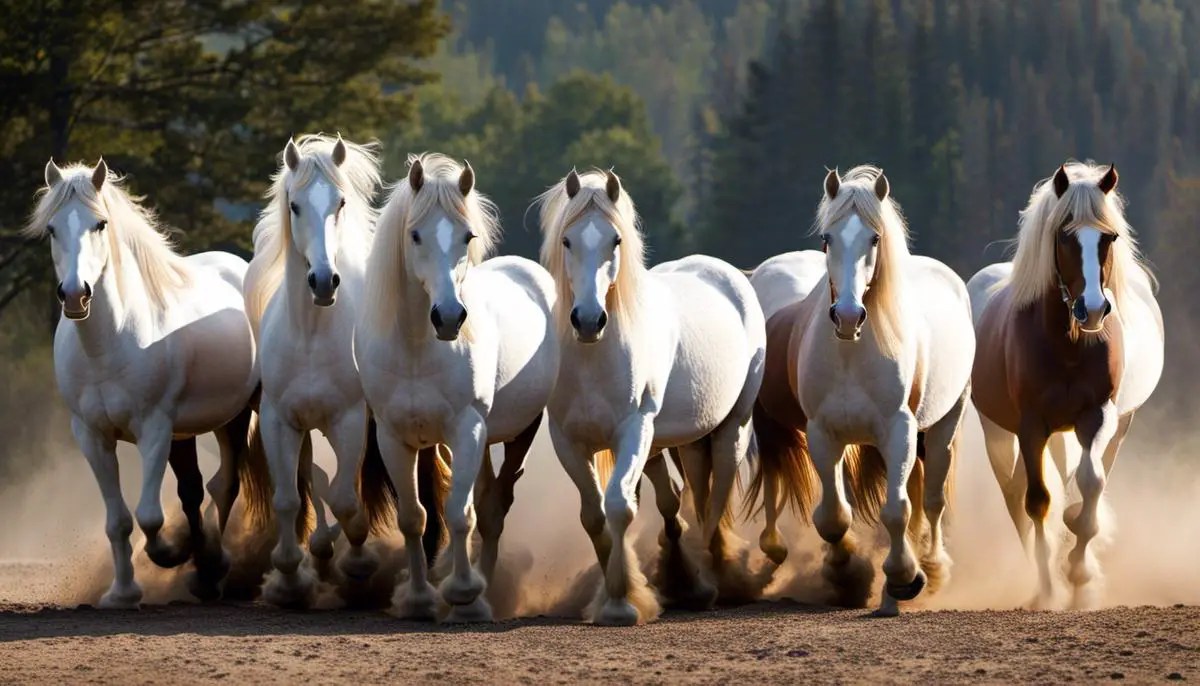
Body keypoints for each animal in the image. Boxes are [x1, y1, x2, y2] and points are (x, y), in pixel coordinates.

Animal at [26, 159, 272, 608]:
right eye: (52, 229)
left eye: (100, 224)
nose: (74, 295)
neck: (110, 345)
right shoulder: (92, 436)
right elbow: (119, 521)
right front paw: (122, 593)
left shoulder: (153, 429)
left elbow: (149, 515)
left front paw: (171, 553)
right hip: (186, 434)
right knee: (196, 490)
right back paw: (205, 570)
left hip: (238, 417)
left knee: (226, 485)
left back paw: (215, 565)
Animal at [356, 153, 557, 622]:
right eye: (414, 235)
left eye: (467, 235)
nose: (449, 317)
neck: (416, 350)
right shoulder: (395, 438)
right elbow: (414, 517)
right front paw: (418, 598)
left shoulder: (466, 430)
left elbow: (459, 515)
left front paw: (464, 594)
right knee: (482, 501)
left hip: (516, 430)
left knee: (492, 509)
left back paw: (484, 591)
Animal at [537, 168, 766, 626]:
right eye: (567, 241)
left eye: (615, 240)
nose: (588, 320)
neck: (594, 356)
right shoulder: (568, 441)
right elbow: (594, 516)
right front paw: (614, 593)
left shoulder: (633, 430)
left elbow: (620, 506)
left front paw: (622, 604)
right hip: (685, 442)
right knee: (689, 495)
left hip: (732, 427)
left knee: (717, 495)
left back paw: (714, 577)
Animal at [748, 166, 974, 616]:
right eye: (827, 238)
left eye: (874, 238)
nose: (849, 316)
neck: (852, 354)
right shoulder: (824, 433)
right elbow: (834, 516)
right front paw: (844, 568)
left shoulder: (900, 431)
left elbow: (897, 510)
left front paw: (905, 577)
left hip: (942, 428)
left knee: (932, 500)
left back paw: (932, 566)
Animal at [968, 161, 1164, 609]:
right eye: (1064, 236)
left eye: (1109, 237)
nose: (1092, 310)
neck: (1069, 345)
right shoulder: (1031, 425)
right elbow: (1037, 500)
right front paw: (1047, 586)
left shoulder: (1098, 415)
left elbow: (1091, 482)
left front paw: (1078, 571)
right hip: (998, 431)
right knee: (1015, 494)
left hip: (1113, 426)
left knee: (1086, 476)